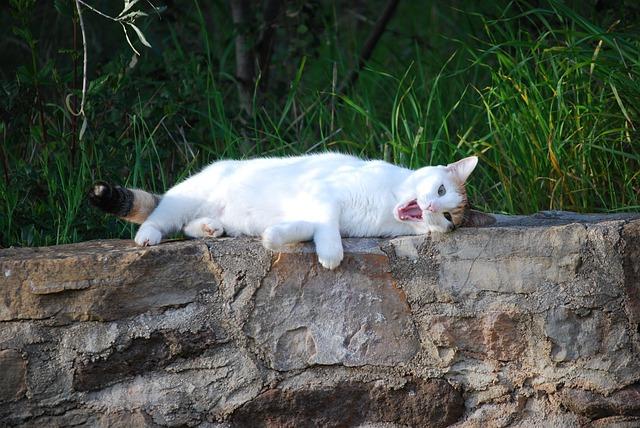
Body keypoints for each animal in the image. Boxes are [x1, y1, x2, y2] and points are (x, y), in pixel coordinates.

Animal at [89, 152, 496, 270]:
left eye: (448, 217)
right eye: (440, 189)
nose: (431, 206)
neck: (386, 206)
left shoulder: (318, 211)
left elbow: (306, 227)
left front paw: (275, 236)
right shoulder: (324, 193)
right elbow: (326, 226)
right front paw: (331, 254)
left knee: (189, 225)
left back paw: (208, 228)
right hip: (188, 195)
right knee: (160, 215)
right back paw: (147, 236)